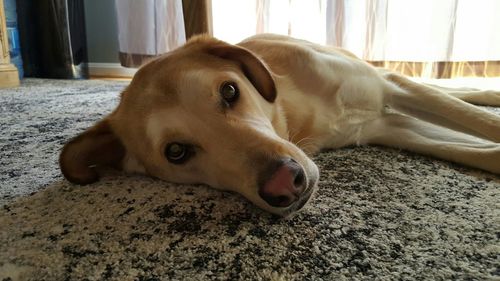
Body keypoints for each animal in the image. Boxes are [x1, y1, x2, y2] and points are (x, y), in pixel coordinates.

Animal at [59, 34, 500, 215]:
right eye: (176, 151)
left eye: (230, 91)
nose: (286, 184)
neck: (300, 112)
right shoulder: (391, 128)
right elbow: (485, 151)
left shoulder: (388, 88)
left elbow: (480, 124)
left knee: (451, 91)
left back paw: (487, 93)